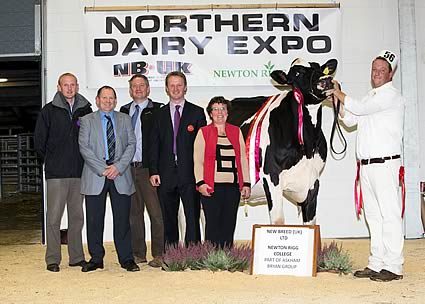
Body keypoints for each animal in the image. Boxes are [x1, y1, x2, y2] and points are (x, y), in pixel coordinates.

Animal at [229, 58, 338, 224]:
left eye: (320, 68)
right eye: (297, 73)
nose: (325, 80)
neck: (307, 146)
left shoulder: (313, 182)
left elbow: (311, 223)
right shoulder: (271, 177)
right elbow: (278, 221)